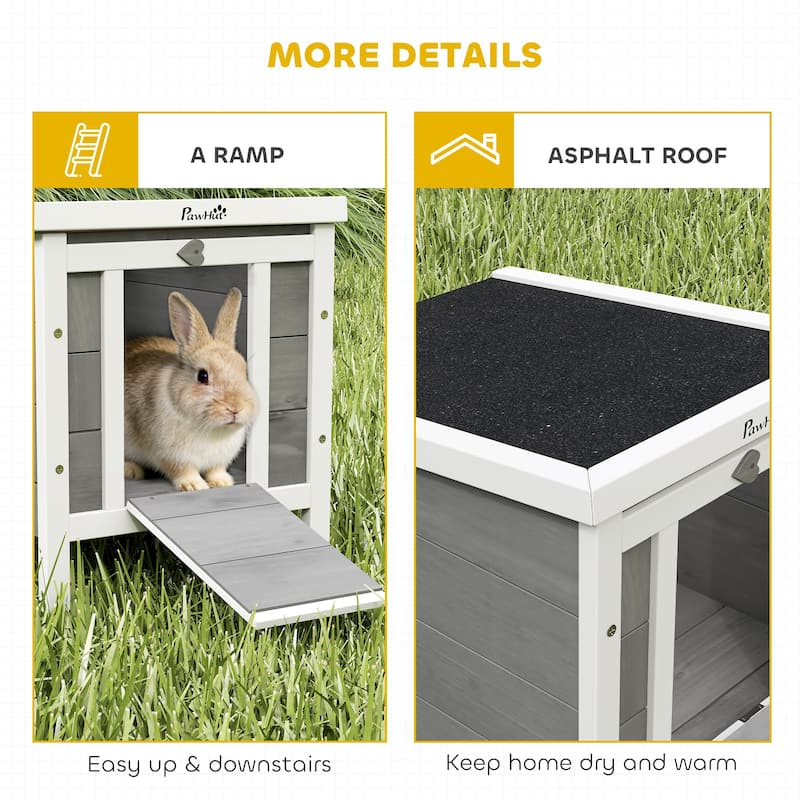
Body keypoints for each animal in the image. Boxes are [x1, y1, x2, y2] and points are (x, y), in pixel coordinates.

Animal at [124, 287, 259, 492]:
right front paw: (194, 486)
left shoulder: (219, 460)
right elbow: (182, 470)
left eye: (244, 371)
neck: (211, 428)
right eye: (203, 376)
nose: (235, 408)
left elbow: (216, 470)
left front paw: (222, 482)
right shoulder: (172, 455)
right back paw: (131, 471)